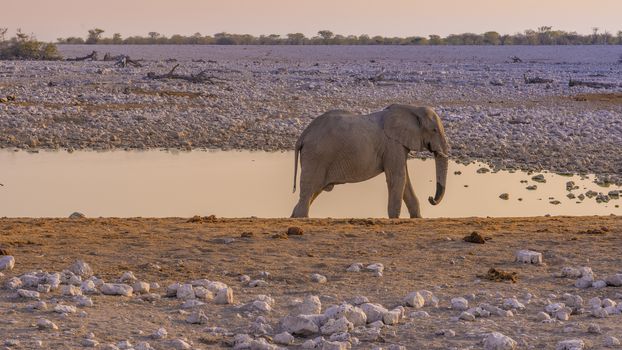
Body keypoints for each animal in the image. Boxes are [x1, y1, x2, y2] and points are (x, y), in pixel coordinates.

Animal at [290, 104, 450, 217]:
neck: (412, 108)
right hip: (316, 156)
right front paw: (394, 218)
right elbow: (398, 177)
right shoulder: (392, 145)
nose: (431, 198)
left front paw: (417, 218)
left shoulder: (398, 146)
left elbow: (405, 180)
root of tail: (303, 135)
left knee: (312, 192)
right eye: (434, 130)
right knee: (309, 192)